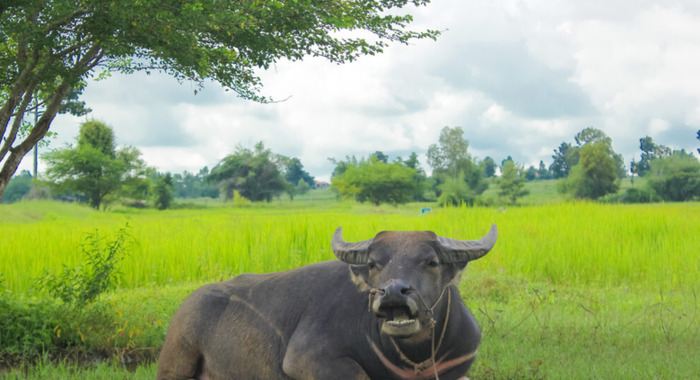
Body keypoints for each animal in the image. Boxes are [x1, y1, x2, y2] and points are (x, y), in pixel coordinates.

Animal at [159, 224, 498, 378]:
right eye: (374, 263)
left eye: (431, 262)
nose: (392, 293)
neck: (413, 356)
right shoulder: (307, 360)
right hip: (176, 359)